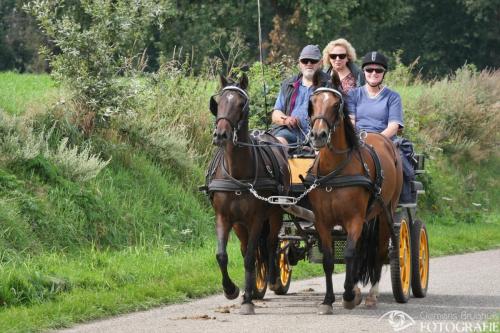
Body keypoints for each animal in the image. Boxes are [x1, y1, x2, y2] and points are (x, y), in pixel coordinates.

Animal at [206, 73, 290, 314]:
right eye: (219, 103)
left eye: (241, 104)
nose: (221, 135)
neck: (237, 173)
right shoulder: (224, 217)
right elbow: (222, 255)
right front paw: (232, 290)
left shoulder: (257, 217)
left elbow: (253, 255)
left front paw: (247, 300)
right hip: (239, 224)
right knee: (246, 249)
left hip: (275, 214)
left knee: (270, 244)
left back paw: (272, 279)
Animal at [306, 70, 404, 314]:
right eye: (313, 102)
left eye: (336, 104)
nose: (318, 136)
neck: (334, 170)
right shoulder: (322, 221)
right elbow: (329, 259)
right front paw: (328, 300)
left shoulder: (354, 219)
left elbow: (350, 254)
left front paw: (349, 295)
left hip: (385, 214)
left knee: (380, 252)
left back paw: (371, 295)